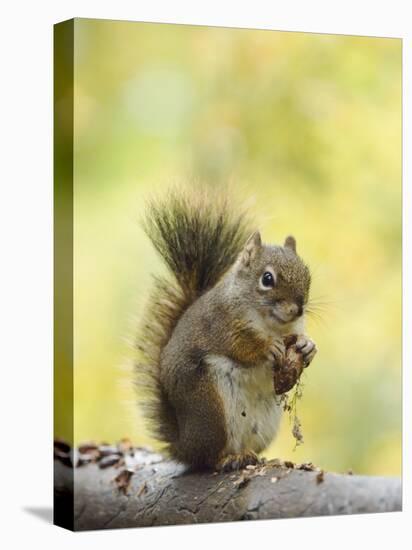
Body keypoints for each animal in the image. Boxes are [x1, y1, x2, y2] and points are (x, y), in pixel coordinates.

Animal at [134, 192, 316, 472]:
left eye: (308, 277)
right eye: (267, 279)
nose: (297, 309)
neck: (272, 324)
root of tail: (183, 446)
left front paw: (307, 347)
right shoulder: (221, 323)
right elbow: (240, 346)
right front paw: (268, 347)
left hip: (263, 425)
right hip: (210, 408)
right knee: (207, 458)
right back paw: (228, 459)